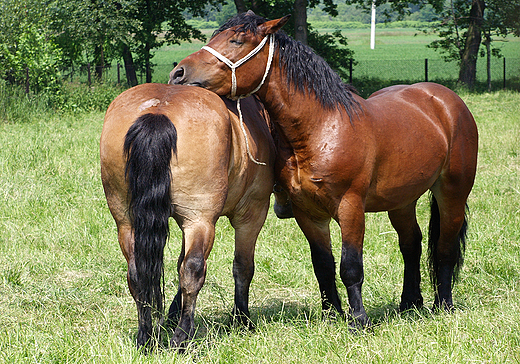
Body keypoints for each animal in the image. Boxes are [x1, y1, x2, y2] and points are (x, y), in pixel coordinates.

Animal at [99, 83, 274, 346]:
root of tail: (158, 111)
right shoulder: (252, 213)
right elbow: (243, 267)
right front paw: (242, 319)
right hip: (200, 221)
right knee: (193, 270)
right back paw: (181, 337)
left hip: (127, 222)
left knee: (138, 273)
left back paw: (146, 338)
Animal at [171, 11, 480, 330]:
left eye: (237, 40)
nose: (178, 73)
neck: (322, 126)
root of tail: (444, 100)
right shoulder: (308, 212)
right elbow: (323, 264)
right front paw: (332, 313)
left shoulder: (350, 207)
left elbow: (350, 266)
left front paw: (358, 320)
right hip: (402, 201)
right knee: (411, 245)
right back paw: (409, 303)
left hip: (452, 192)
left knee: (445, 247)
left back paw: (443, 304)